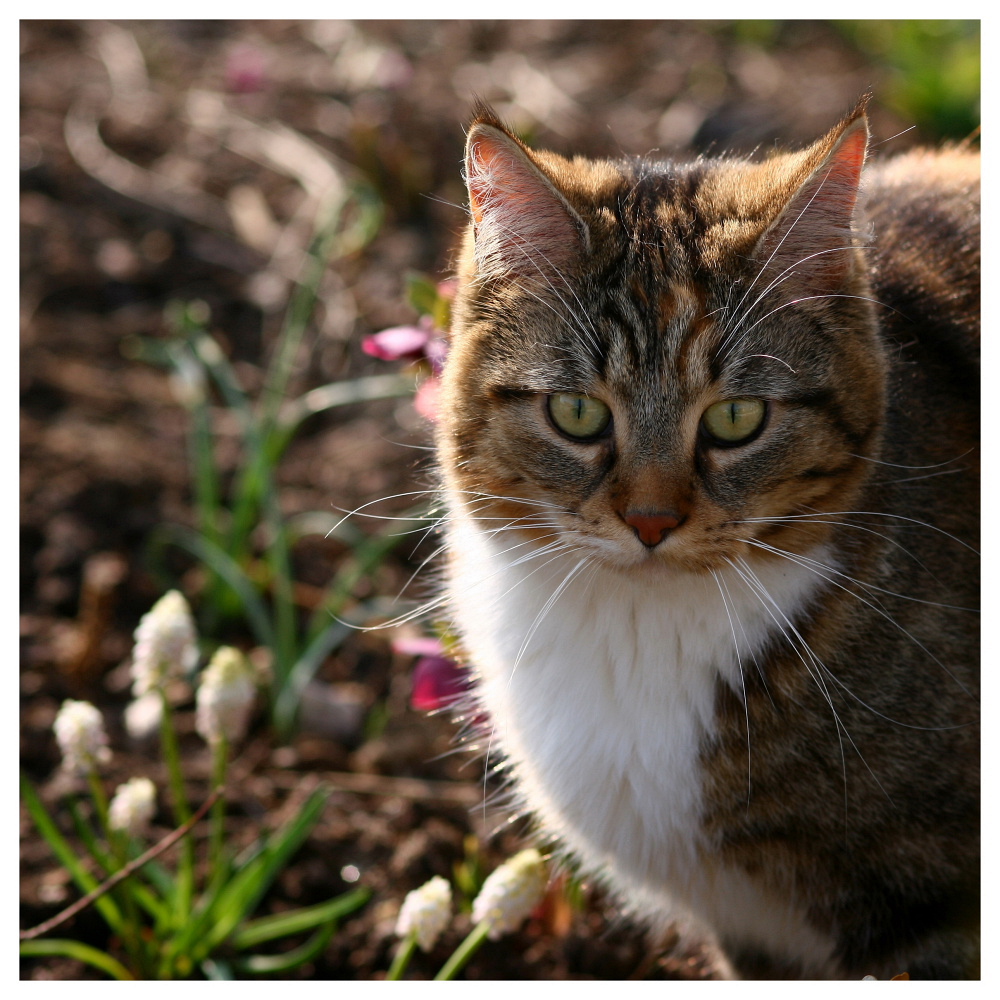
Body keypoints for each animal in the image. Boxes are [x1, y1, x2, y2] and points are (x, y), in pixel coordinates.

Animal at [432, 97, 976, 980]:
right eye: (577, 413)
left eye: (736, 419)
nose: (652, 521)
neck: (640, 632)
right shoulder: (748, 933)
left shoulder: (934, 911)